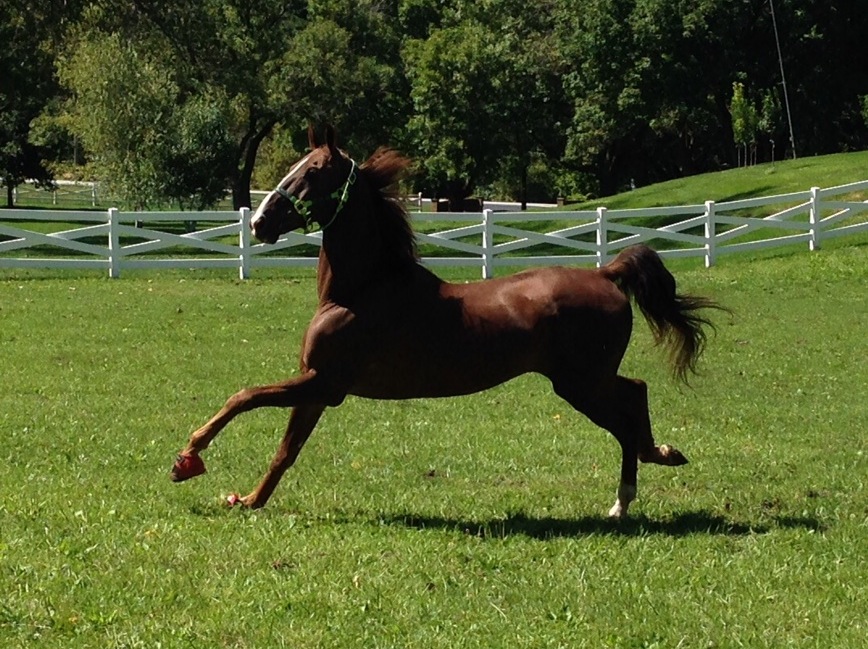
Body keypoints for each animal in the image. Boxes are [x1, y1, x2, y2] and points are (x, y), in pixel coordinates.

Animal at [171, 126, 724, 520]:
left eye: (313, 172)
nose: (260, 223)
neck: (362, 291)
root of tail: (607, 273)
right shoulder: (318, 387)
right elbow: (285, 451)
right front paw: (247, 500)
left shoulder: (324, 382)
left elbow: (243, 397)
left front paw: (188, 458)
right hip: (585, 381)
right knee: (635, 394)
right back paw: (643, 477)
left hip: (580, 383)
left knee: (629, 408)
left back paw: (637, 482)